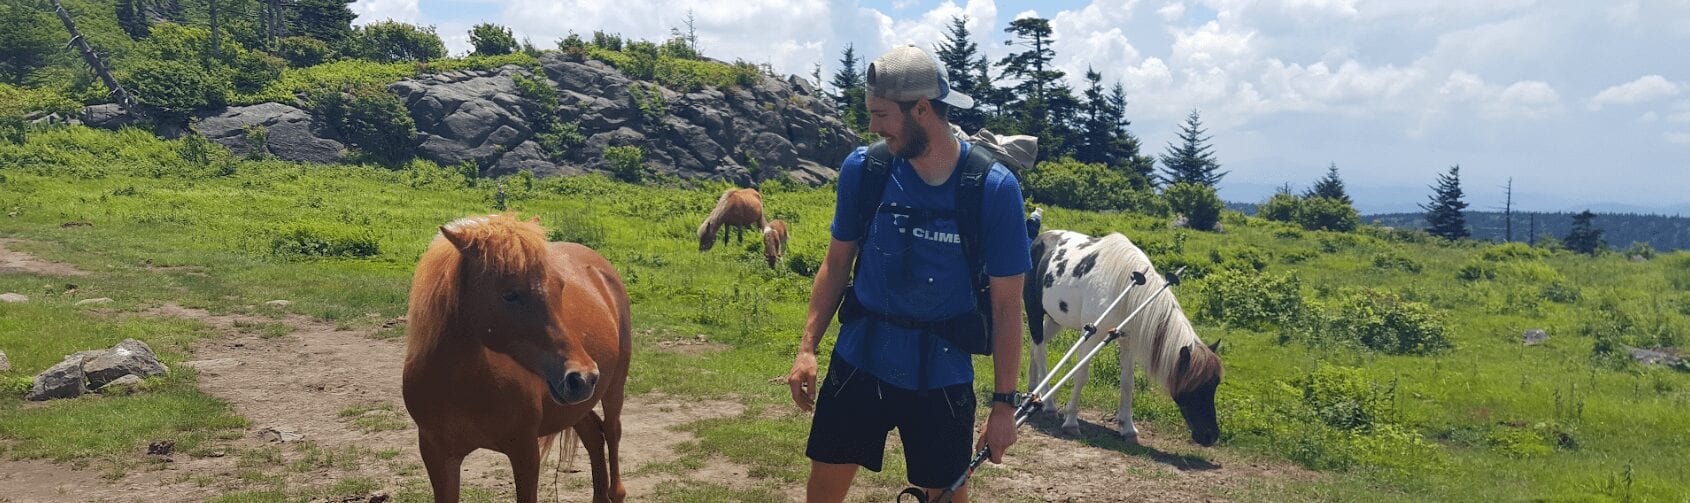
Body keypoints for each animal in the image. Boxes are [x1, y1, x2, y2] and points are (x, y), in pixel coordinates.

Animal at [403, 213, 632, 503]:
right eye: (510, 294)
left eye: (560, 287)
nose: (583, 377)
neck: (461, 386)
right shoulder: (438, 455)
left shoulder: (525, 452)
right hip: (575, 406)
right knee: (594, 436)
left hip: (614, 387)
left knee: (612, 432)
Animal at [1023, 229, 1223, 446]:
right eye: (1196, 387)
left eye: (1214, 386)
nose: (1210, 436)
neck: (1125, 290)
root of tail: (1040, 238)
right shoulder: (1091, 337)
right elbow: (1081, 375)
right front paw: (1071, 422)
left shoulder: (1128, 341)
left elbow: (1127, 383)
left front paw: (1127, 428)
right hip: (1034, 311)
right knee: (1041, 352)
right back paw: (1048, 403)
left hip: (1055, 319)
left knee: (1035, 347)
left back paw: (1033, 391)